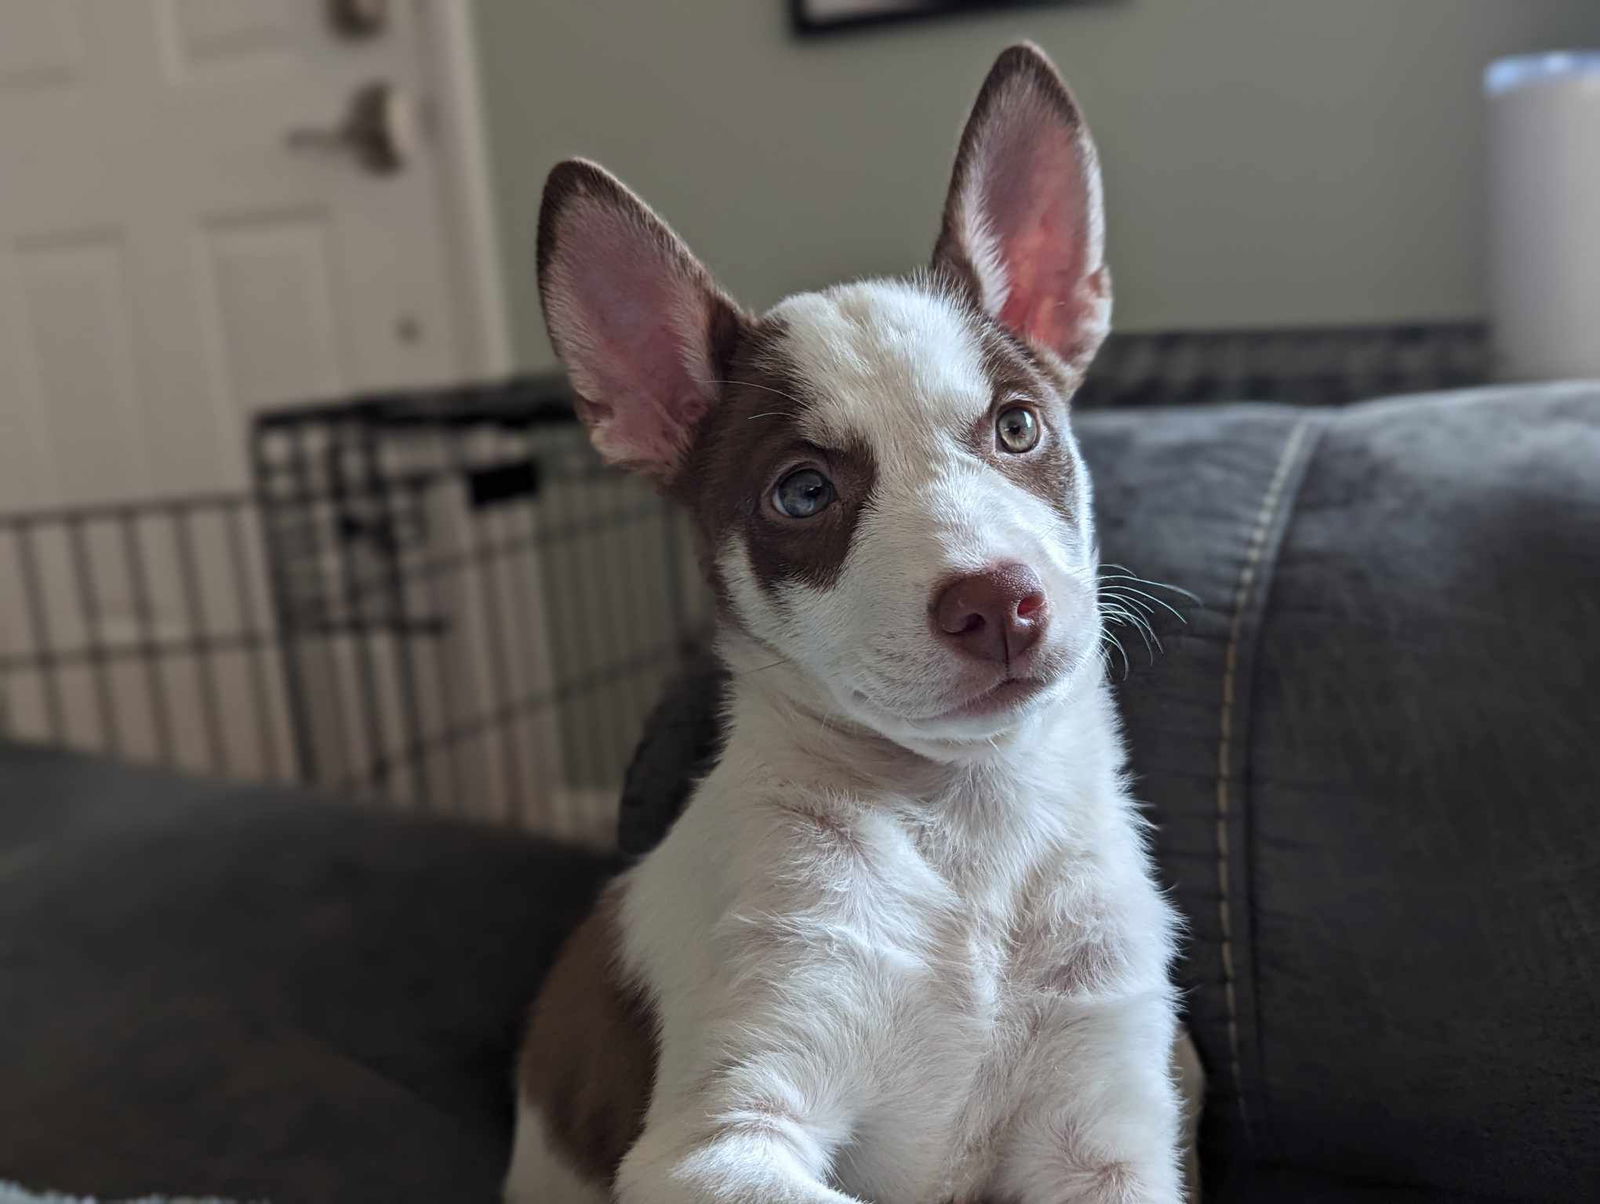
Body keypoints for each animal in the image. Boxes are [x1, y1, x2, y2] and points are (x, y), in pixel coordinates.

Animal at [512, 44, 1203, 1204]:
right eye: (802, 493)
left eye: (1018, 427)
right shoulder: (723, 1136)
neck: (969, 834)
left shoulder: (1107, 1134)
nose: (999, 601)